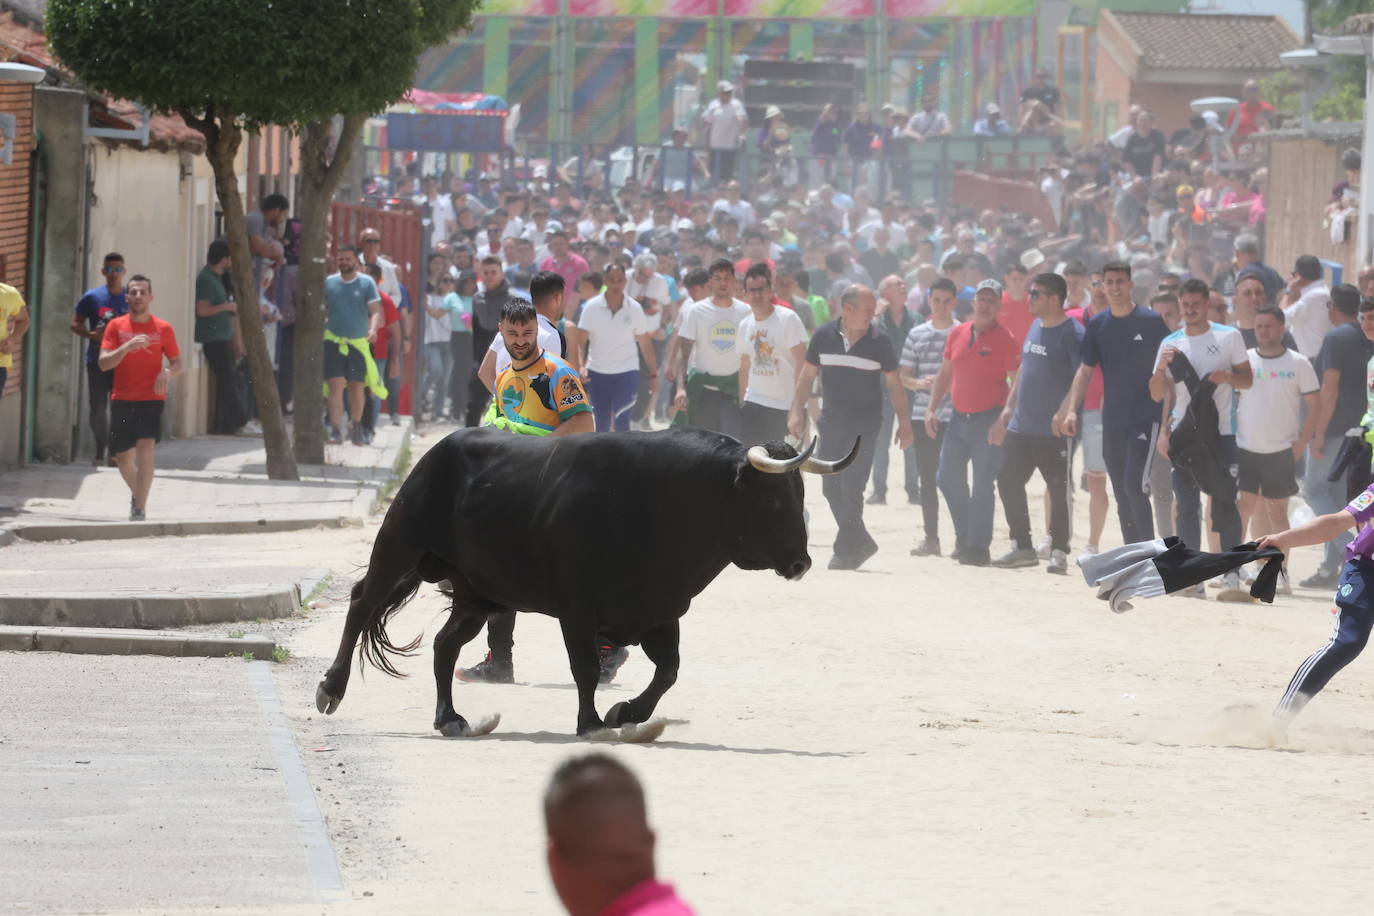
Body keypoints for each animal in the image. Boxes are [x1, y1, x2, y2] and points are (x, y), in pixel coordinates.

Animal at [318, 425, 857, 736]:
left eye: (800, 494)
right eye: (772, 498)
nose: (801, 563)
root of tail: (439, 450)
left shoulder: (660, 612)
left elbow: (668, 671)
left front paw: (626, 714)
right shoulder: (577, 611)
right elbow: (586, 669)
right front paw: (592, 723)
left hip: (478, 592)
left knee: (445, 644)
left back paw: (450, 718)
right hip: (400, 546)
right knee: (362, 602)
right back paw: (331, 689)